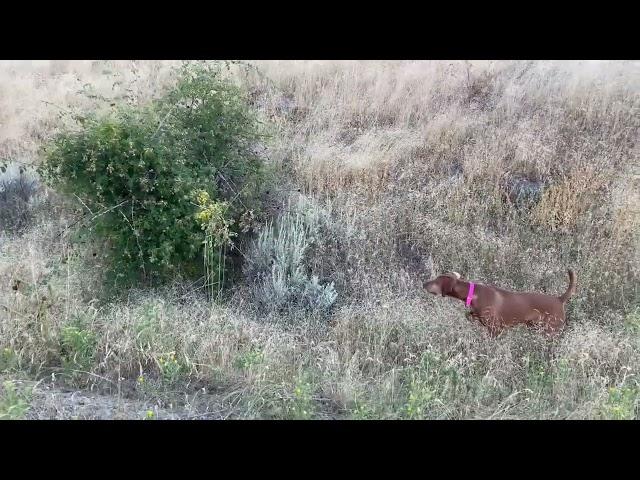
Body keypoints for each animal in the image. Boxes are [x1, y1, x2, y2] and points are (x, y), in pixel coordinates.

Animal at [422, 270, 576, 338]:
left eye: (436, 281)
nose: (423, 284)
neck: (473, 293)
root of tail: (559, 299)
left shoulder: (495, 328)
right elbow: (469, 315)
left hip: (551, 331)